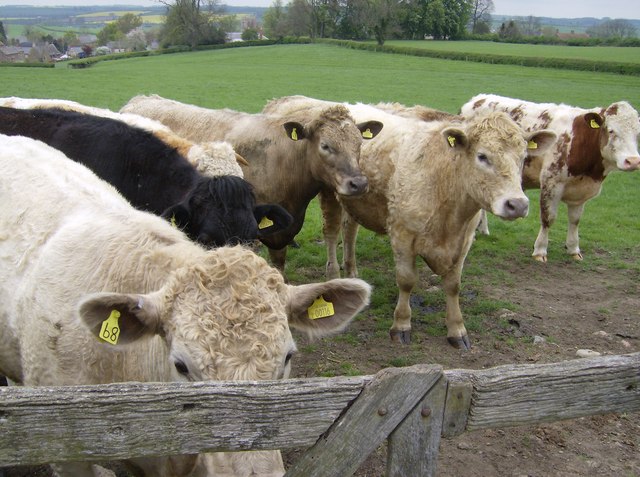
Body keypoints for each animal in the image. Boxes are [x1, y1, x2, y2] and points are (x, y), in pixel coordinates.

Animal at [264, 97, 556, 350]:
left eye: (523, 158)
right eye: (482, 156)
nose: (517, 204)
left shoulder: (464, 240)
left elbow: (454, 285)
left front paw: (457, 330)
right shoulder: (402, 234)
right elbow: (406, 280)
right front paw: (401, 325)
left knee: (350, 231)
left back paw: (352, 271)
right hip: (330, 192)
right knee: (332, 232)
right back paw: (334, 273)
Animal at [460, 94, 640, 260]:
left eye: (638, 134)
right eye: (611, 130)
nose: (633, 161)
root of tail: (478, 99)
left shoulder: (581, 191)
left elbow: (575, 220)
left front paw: (574, 249)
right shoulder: (551, 184)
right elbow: (548, 218)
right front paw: (540, 250)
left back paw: (483, 229)